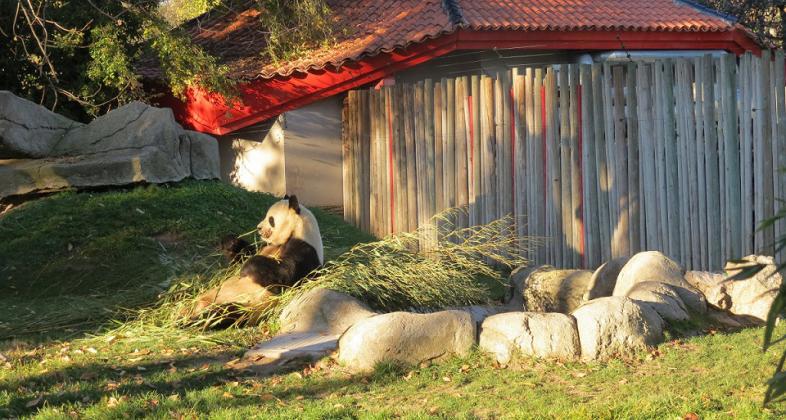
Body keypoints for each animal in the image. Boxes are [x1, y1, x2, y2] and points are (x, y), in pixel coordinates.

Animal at [190, 195, 322, 320]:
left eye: (271, 219)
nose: (259, 227)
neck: (297, 230)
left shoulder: (305, 250)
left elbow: (284, 274)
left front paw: (247, 268)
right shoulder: (267, 246)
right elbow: (244, 255)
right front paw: (230, 242)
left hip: (246, 306)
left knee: (223, 314)